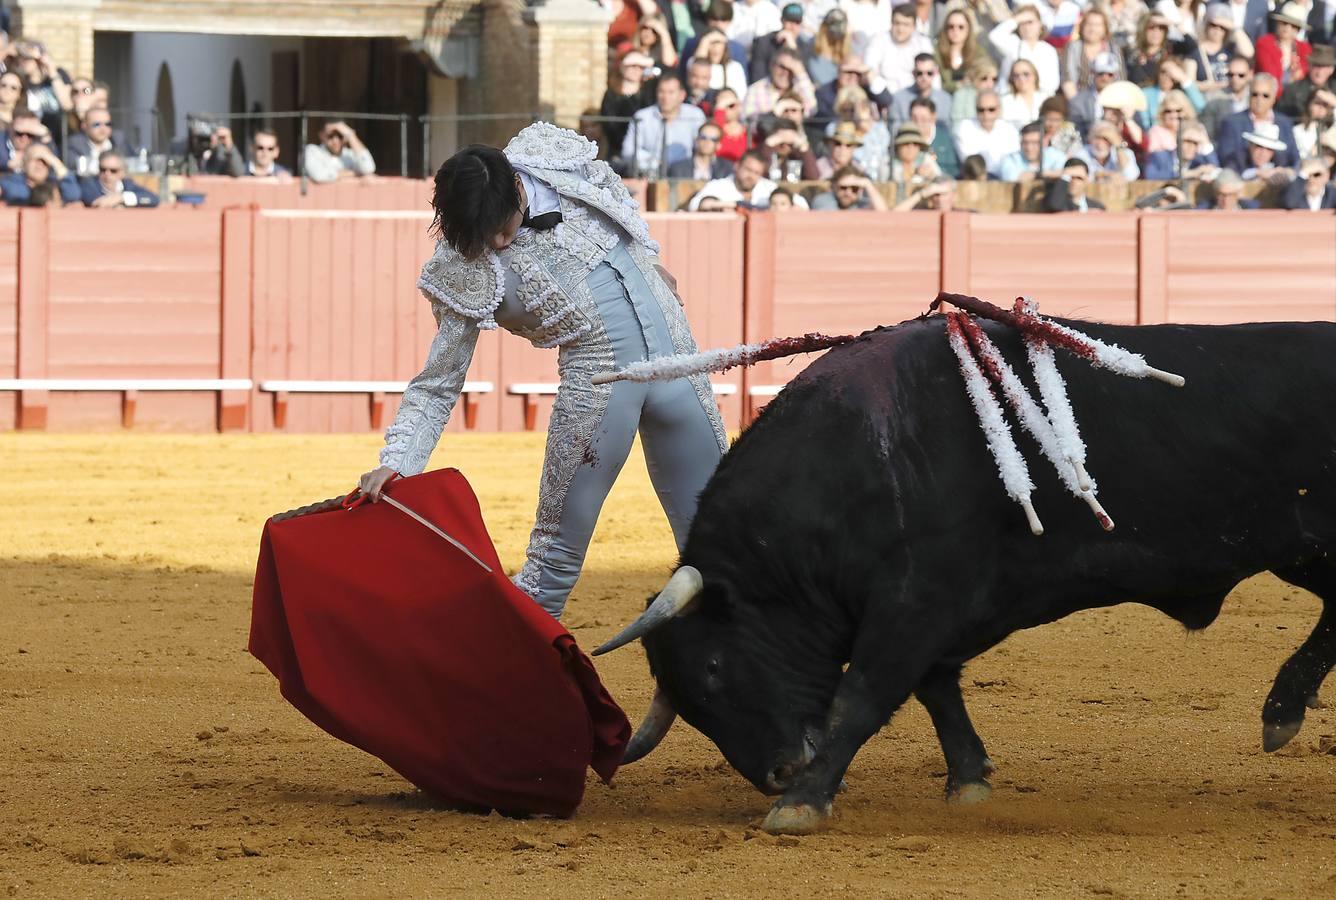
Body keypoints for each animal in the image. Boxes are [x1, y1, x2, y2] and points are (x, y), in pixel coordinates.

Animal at [595, 317, 1336, 833]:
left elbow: (862, 696)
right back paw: (1283, 712)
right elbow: (935, 688)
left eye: (714, 667)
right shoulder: (933, 612)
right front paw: (969, 783)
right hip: (1306, 555)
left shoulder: (915, 601)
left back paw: (1281, 713)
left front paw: (801, 807)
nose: (779, 773)